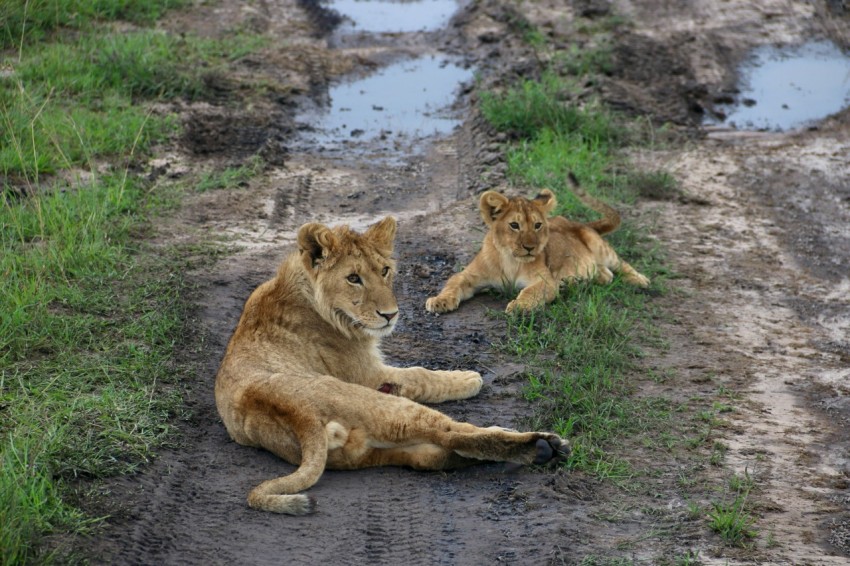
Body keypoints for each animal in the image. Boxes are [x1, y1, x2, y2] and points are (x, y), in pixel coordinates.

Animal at [215, 216, 568, 514]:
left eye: (384, 271)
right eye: (353, 278)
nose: (390, 315)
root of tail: (297, 415)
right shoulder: (368, 374)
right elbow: (420, 374)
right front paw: (467, 379)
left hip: (370, 451)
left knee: (431, 456)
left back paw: (536, 450)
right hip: (383, 405)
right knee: (451, 434)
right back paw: (541, 444)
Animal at [426, 173, 650, 314]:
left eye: (538, 225)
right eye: (514, 225)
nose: (529, 247)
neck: (511, 260)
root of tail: (577, 222)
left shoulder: (545, 280)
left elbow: (530, 291)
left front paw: (519, 307)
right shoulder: (469, 275)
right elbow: (453, 283)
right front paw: (439, 301)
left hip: (597, 244)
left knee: (620, 264)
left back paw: (641, 281)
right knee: (606, 274)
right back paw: (583, 280)